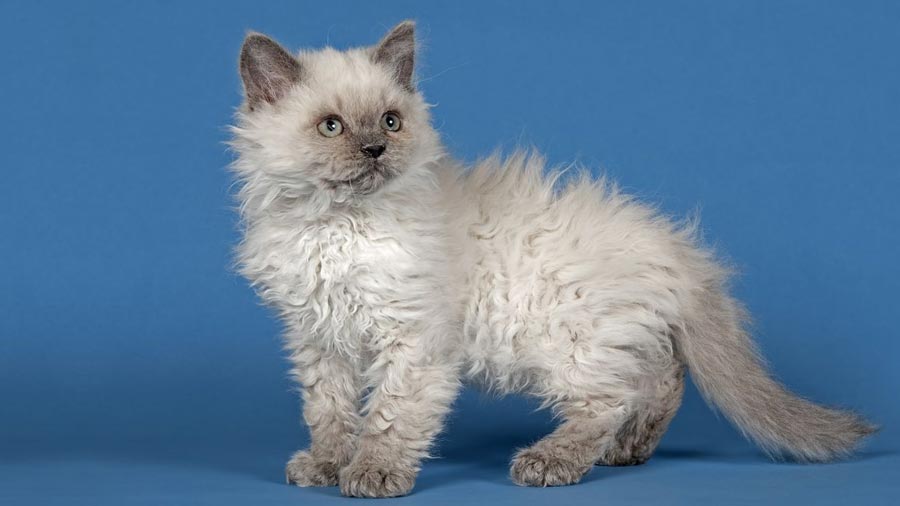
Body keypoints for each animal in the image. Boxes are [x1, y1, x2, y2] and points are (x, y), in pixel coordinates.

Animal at [229, 20, 876, 498]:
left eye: (390, 121)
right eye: (331, 127)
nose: (374, 150)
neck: (337, 226)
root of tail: (675, 247)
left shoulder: (411, 339)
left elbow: (390, 414)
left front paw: (373, 473)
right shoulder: (318, 339)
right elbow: (329, 411)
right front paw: (325, 465)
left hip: (565, 340)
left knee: (611, 400)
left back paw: (551, 461)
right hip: (607, 337)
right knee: (660, 378)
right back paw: (628, 450)